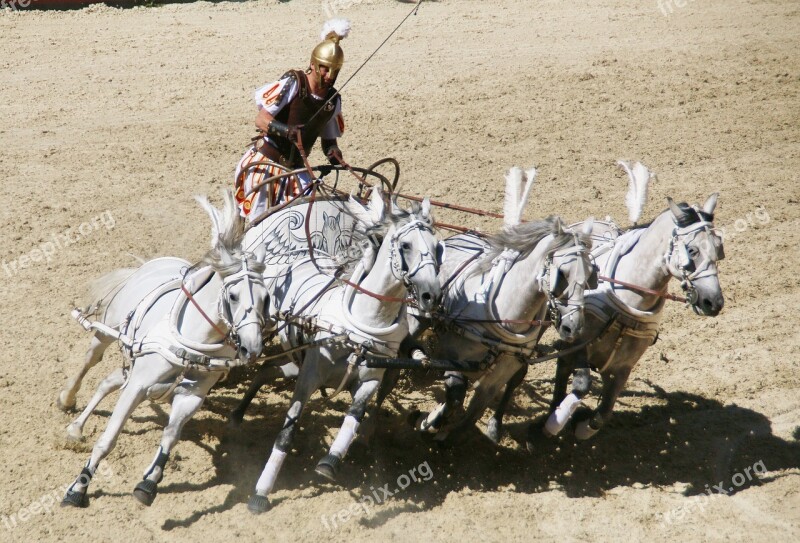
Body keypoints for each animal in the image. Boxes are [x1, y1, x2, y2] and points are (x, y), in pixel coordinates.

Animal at [62, 191, 268, 510]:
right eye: (233, 296)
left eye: (266, 297)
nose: (253, 347)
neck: (191, 339)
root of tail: (149, 265)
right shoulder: (138, 387)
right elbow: (108, 439)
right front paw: (78, 488)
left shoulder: (192, 395)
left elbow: (170, 436)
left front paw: (149, 483)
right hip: (105, 334)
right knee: (90, 362)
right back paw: (67, 401)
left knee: (109, 380)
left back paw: (76, 427)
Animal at [245, 189, 440, 516]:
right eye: (405, 245)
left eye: (438, 247)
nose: (431, 296)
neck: (361, 327)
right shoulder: (310, 375)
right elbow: (287, 431)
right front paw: (261, 491)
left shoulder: (371, 378)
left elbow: (355, 415)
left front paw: (331, 460)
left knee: (269, 369)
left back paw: (238, 412)